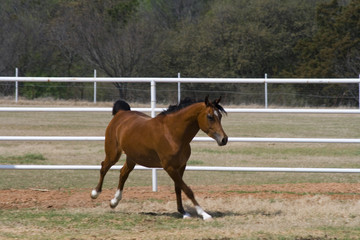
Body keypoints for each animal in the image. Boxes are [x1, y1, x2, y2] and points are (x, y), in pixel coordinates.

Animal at [91, 96, 229, 220]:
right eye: (210, 116)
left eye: (220, 116)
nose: (224, 139)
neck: (172, 134)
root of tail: (120, 113)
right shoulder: (169, 167)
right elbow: (187, 189)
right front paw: (204, 214)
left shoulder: (181, 166)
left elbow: (178, 188)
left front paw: (183, 212)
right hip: (113, 154)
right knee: (104, 167)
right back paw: (95, 193)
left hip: (132, 157)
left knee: (123, 173)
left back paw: (114, 202)